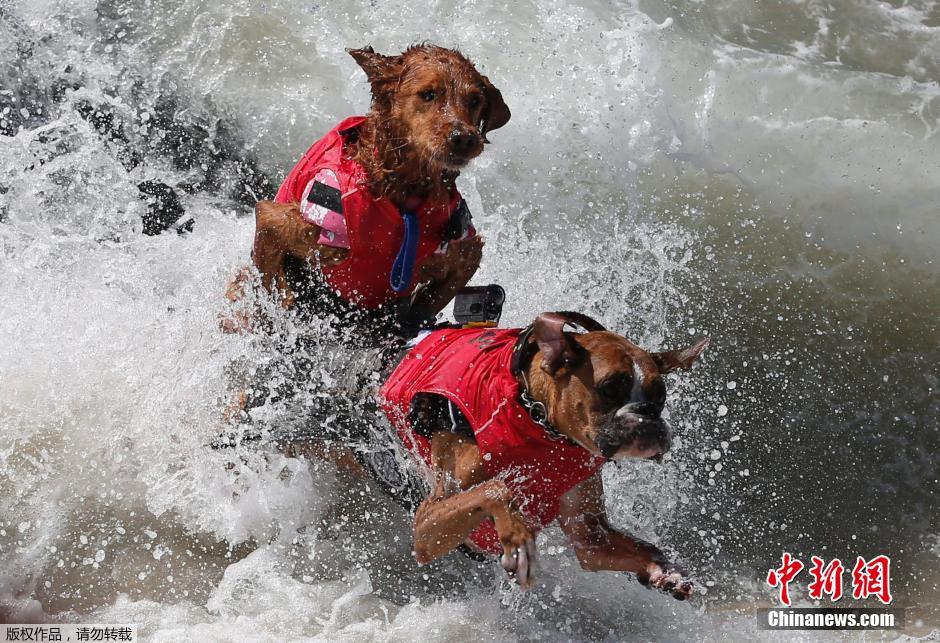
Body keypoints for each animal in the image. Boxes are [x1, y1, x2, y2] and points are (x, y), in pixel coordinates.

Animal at [378, 312, 708, 600]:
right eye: (610, 387)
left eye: (661, 395)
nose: (647, 414)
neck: (535, 417)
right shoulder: (428, 522)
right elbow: (497, 488)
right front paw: (518, 539)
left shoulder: (592, 539)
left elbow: (636, 548)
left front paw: (665, 571)